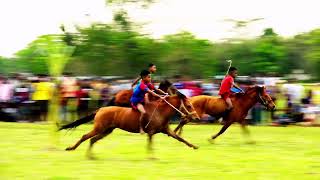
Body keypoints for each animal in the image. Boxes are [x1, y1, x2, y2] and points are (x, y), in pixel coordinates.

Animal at [58, 91, 199, 158]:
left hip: (106, 130)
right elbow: (150, 145)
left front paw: (194, 146)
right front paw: (151, 157)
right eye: (188, 105)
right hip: (99, 128)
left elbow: (181, 138)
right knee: (85, 137)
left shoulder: (166, 131)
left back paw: (91, 156)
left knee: (92, 140)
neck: (160, 111)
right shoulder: (151, 132)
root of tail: (100, 109)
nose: (196, 117)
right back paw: (71, 148)